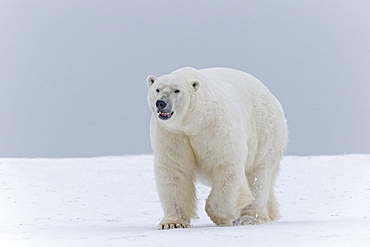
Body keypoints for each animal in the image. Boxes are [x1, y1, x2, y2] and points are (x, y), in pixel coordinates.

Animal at [146, 67, 288, 230]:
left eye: (177, 90)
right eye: (157, 89)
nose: (161, 103)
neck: (193, 122)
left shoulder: (216, 125)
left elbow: (226, 165)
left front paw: (223, 217)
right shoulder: (172, 133)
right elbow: (174, 169)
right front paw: (172, 223)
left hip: (265, 133)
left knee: (258, 175)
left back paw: (250, 217)